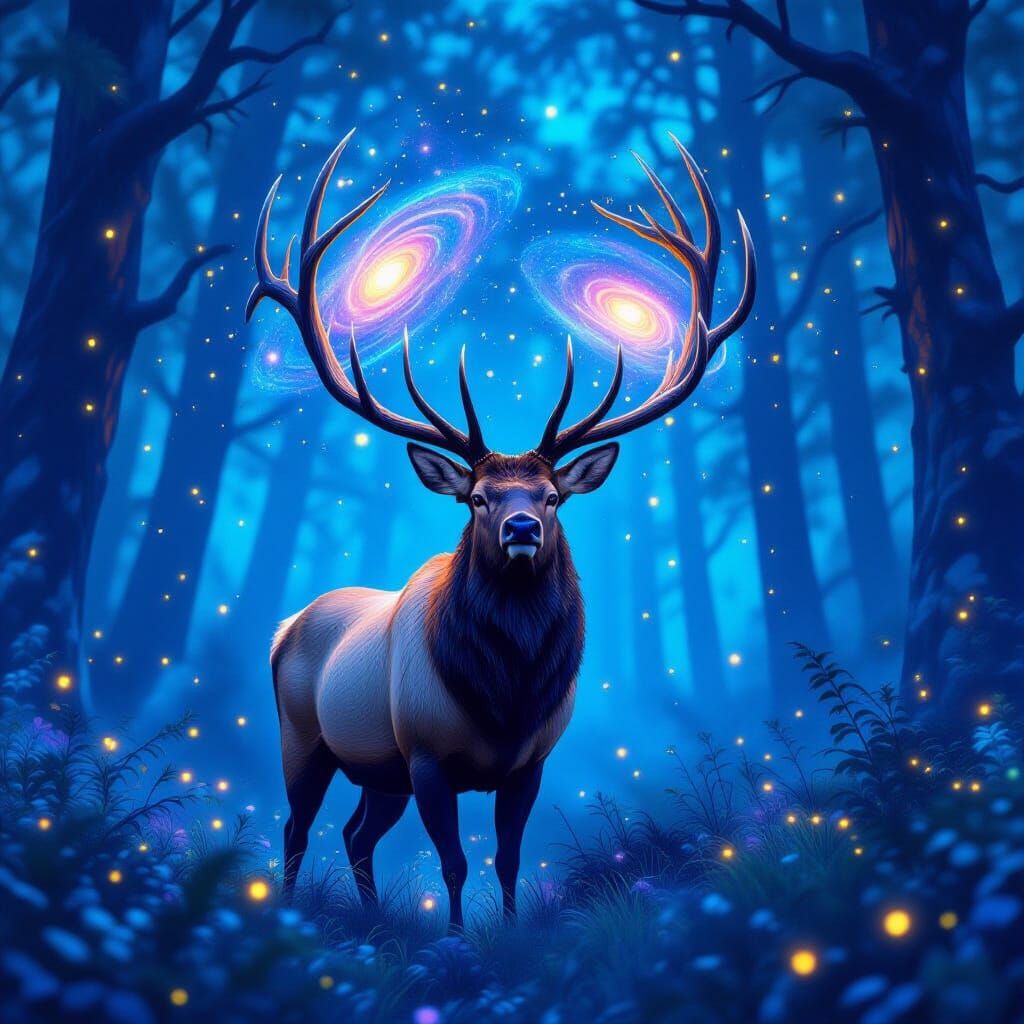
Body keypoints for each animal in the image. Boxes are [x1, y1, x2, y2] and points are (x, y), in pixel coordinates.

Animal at [245, 128, 755, 929]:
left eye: (552, 497)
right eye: (477, 499)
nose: (520, 527)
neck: (505, 700)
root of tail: (285, 625)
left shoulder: (531, 762)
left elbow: (507, 858)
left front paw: (510, 934)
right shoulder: (426, 756)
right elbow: (454, 863)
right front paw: (455, 937)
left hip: (377, 770)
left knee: (356, 833)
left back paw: (369, 917)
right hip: (304, 736)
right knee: (298, 825)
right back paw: (295, 910)